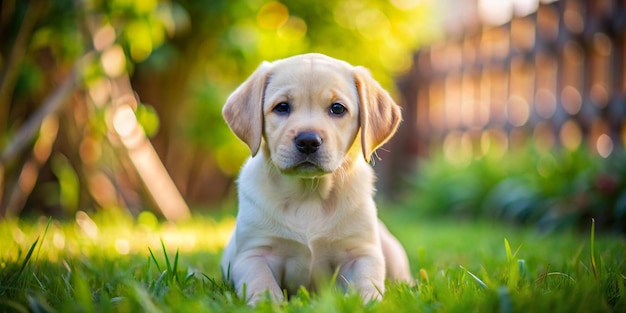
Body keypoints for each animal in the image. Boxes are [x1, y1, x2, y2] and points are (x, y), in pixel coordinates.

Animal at [219, 53, 410, 302]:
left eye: (337, 108)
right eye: (282, 107)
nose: (308, 141)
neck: (309, 193)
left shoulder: (361, 253)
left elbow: (366, 284)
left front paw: (366, 302)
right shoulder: (253, 254)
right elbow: (263, 284)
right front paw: (268, 303)